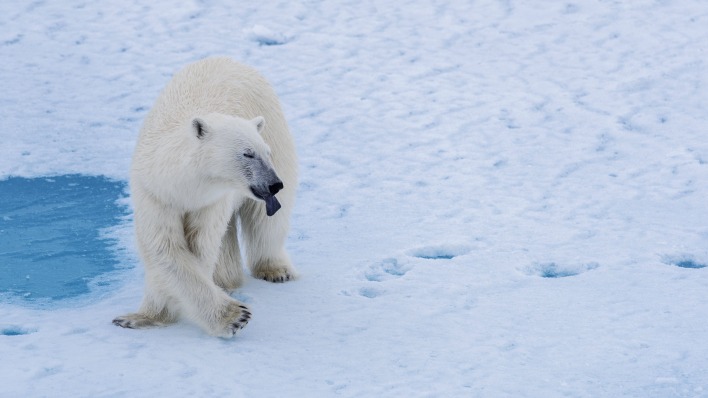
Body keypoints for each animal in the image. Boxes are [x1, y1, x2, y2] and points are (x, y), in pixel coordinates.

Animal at [112, 56, 298, 336]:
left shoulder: (210, 202)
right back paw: (227, 280)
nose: (274, 184)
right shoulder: (155, 195)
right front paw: (140, 317)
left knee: (265, 221)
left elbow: (199, 248)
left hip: (276, 131)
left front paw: (234, 316)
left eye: (265, 152)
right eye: (247, 153)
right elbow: (165, 250)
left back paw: (274, 270)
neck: (183, 186)